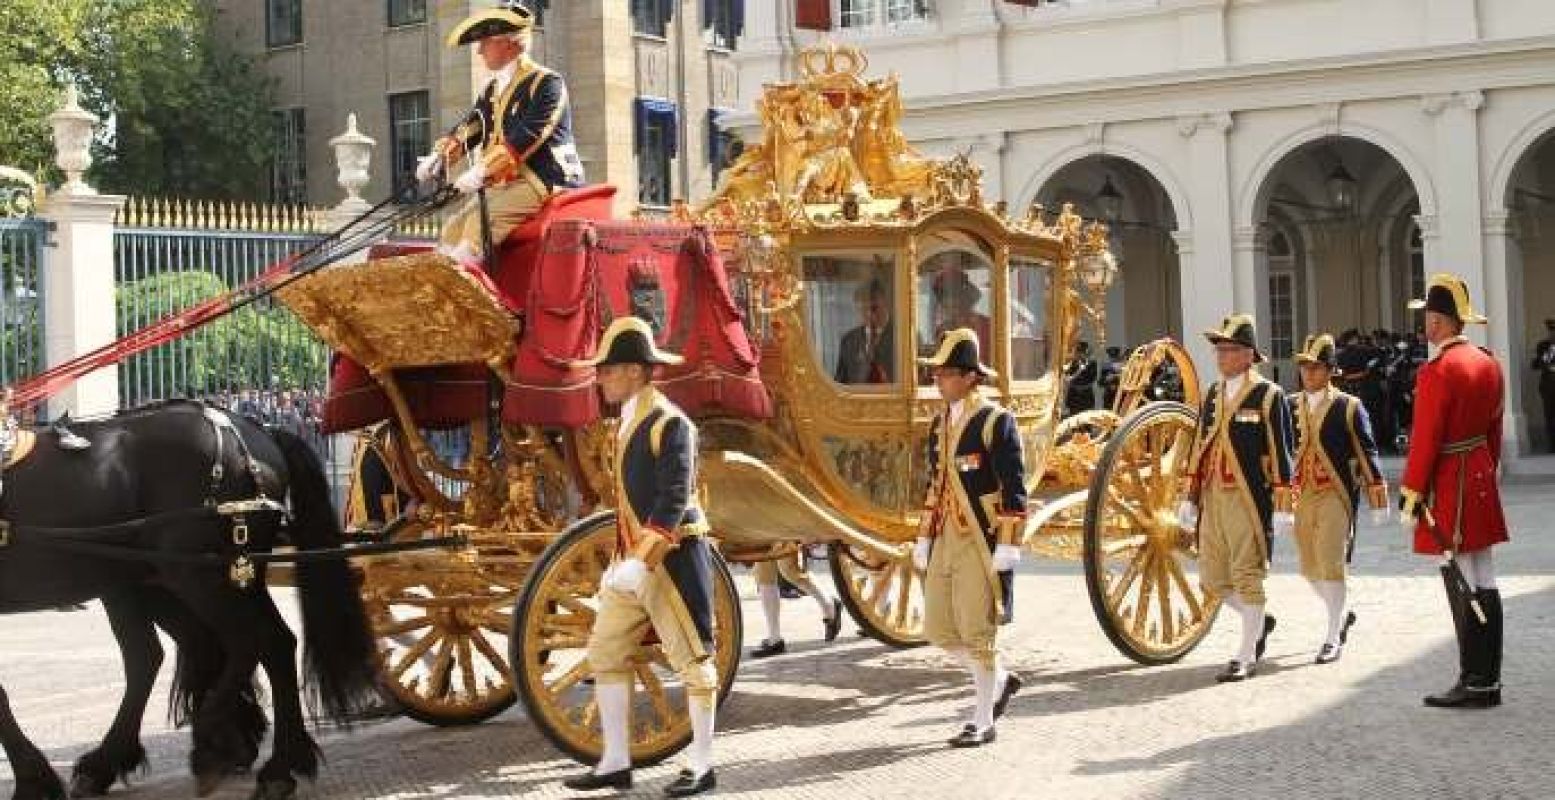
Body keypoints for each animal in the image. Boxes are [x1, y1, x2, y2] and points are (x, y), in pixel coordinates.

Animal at [0, 401, 376, 793]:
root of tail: (259, 429)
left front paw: (32, 777)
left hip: (197, 576)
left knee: (253, 641)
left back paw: (225, 741)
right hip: (174, 578)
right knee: (208, 648)